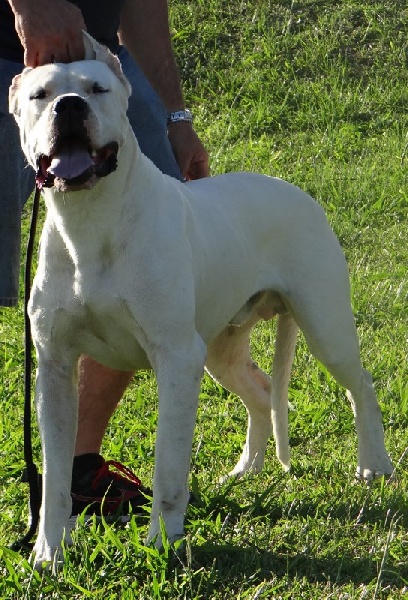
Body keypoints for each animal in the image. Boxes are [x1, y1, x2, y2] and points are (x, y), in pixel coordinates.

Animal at [10, 35, 392, 568]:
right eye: (40, 95)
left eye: (97, 89)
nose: (69, 106)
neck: (91, 221)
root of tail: (297, 191)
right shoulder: (55, 369)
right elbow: (55, 482)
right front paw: (49, 553)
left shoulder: (176, 357)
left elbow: (169, 467)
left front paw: (162, 543)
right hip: (220, 349)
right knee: (261, 390)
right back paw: (249, 467)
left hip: (324, 326)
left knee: (361, 385)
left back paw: (374, 465)